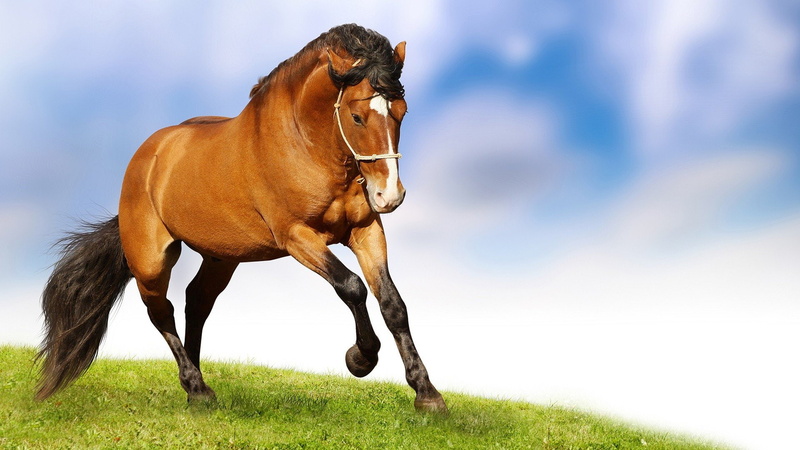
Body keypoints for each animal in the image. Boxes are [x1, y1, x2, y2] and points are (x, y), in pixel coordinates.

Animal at [36, 24, 447, 414]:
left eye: (402, 112)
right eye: (358, 116)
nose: (389, 196)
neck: (306, 145)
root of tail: (147, 156)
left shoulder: (365, 231)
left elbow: (393, 304)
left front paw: (427, 395)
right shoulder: (297, 236)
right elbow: (352, 286)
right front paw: (360, 358)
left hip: (221, 257)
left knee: (196, 302)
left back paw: (195, 386)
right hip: (151, 260)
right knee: (161, 311)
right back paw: (197, 388)